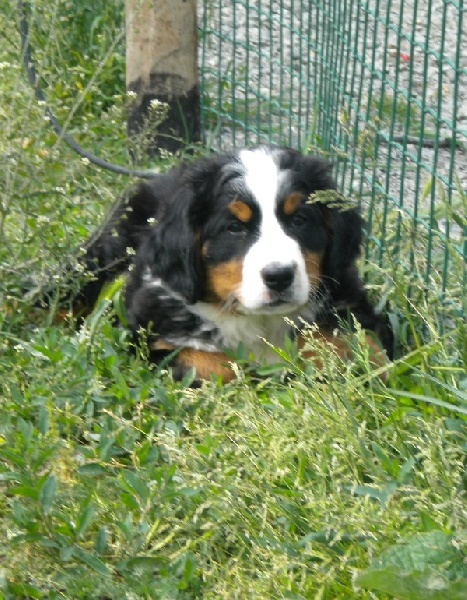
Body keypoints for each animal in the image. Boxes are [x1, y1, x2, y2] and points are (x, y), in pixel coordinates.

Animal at [73, 146, 393, 382]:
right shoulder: (149, 336)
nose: (279, 276)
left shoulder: (350, 303)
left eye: (300, 220)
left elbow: (361, 346)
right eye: (234, 227)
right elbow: (207, 362)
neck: (257, 321)